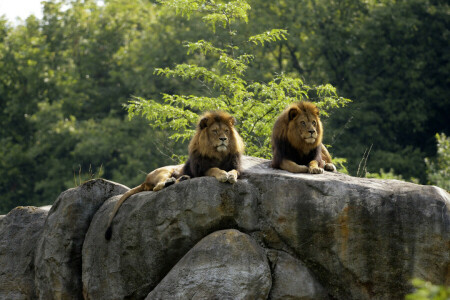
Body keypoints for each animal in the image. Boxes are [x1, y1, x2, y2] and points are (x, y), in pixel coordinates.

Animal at [104, 111, 246, 240]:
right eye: (215, 131)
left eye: (226, 131)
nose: (223, 139)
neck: (219, 154)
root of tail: (146, 180)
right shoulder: (201, 170)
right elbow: (214, 169)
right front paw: (223, 175)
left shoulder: (235, 166)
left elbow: (234, 171)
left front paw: (231, 176)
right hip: (165, 171)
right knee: (157, 187)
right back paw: (172, 181)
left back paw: (182, 179)